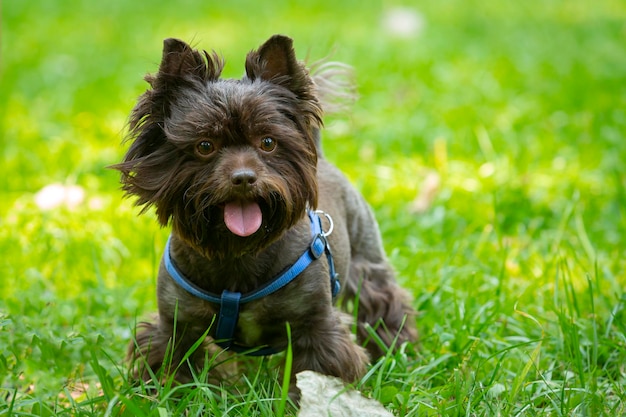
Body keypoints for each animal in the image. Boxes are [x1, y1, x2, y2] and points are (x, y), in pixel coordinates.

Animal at [113, 35, 414, 394]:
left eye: (268, 142)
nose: (244, 178)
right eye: (205, 145)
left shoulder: (315, 326)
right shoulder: (176, 326)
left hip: (366, 261)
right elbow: (174, 367)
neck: (236, 253)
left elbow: (315, 371)